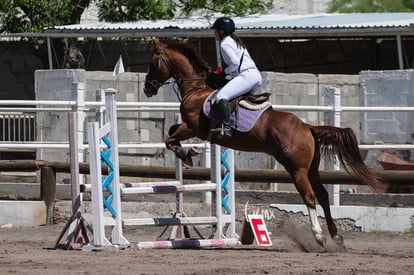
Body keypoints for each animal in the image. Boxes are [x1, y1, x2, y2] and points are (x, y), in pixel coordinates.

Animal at [143, 38, 382, 250]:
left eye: (153, 62)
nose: (147, 89)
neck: (196, 89)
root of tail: (307, 127)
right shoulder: (190, 128)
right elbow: (171, 133)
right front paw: (187, 152)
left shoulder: (194, 128)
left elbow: (170, 139)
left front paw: (187, 153)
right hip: (311, 169)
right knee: (323, 196)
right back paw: (336, 236)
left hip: (296, 169)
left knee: (310, 196)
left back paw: (319, 237)